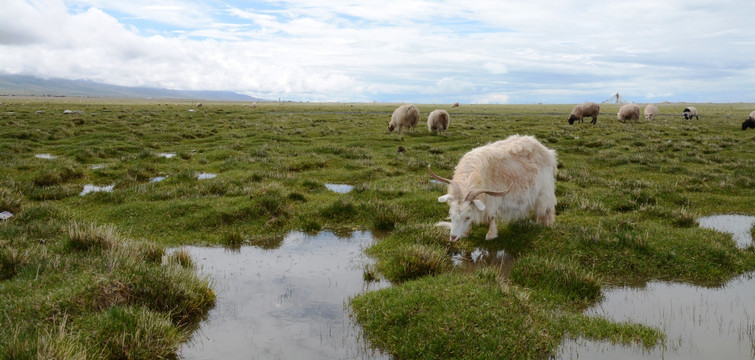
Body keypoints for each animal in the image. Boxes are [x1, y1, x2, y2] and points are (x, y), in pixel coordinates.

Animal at [428, 135, 560, 242]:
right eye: (451, 214)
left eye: (467, 217)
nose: (453, 237)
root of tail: (549, 153)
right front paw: (466, 233)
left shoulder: (492, 199)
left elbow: (491, 217)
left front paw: (490, 235)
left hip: (545, 190)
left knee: (547, 208)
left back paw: (547, 224)